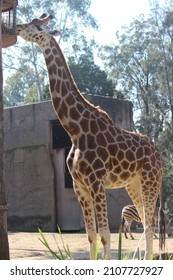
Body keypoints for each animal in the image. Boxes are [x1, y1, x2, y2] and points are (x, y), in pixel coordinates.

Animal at [16, 13, 165, 260]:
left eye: (38, 27)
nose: (18, 27)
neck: (75, 130)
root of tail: (160, 155)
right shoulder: (80, 186)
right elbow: (91, 236)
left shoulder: (97, 183)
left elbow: (105, 235)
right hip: (133, 183)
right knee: (146, 220)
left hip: (150, 180)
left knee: (150, 222)